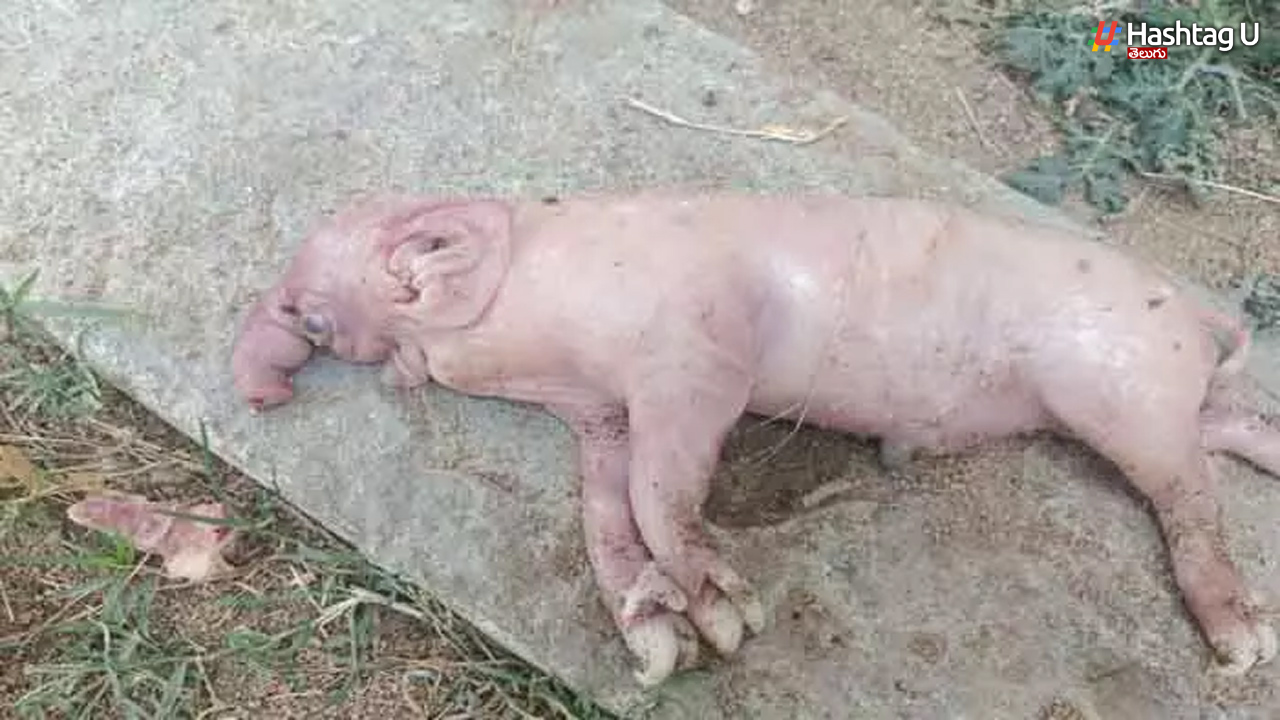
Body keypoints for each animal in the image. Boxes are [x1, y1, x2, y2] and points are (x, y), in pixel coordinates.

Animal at [231, 191, 1280, 686]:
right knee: (1235, 431)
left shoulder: (697, 351)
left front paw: (737, 617)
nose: (262, 386)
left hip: (1120, 391)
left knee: (1192, 500)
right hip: (1160, 401)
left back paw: (1242, 650)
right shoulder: (601, 415)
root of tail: (1195, 318)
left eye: (310, 313)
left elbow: (665, 486)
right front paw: (664, 649)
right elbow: (606, 514)